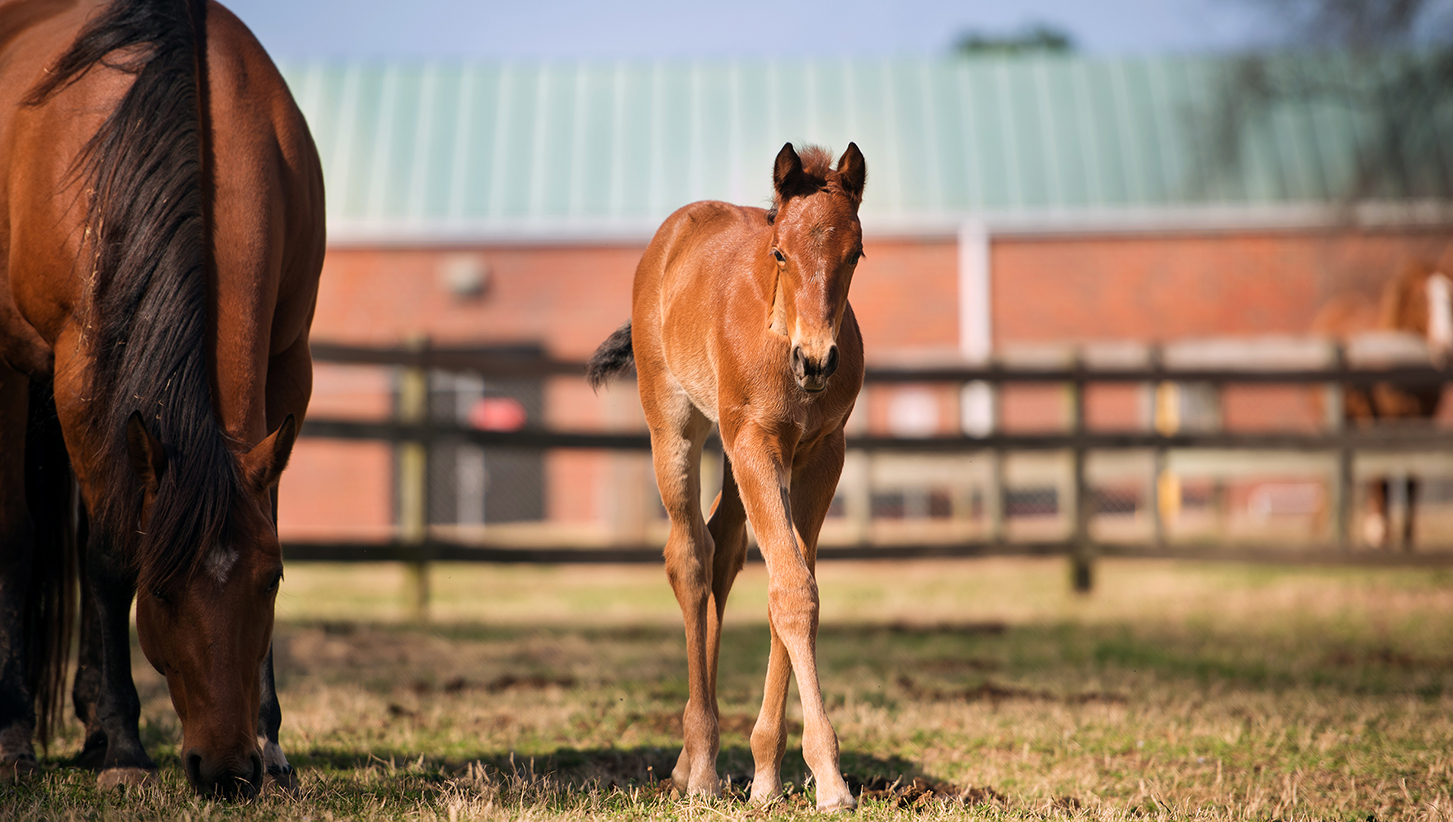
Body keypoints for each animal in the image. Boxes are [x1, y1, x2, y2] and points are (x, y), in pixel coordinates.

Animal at [0, 0, 324, 798]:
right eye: (163, 589)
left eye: (271, 582)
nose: (229, 770)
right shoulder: (69, 371)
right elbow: (103, 557)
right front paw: (122, 748)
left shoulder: (287, 365)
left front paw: (273, 744)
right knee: (26, 535)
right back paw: (24, 733)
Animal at [589, 143, 866, 811]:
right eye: (780, 252)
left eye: (856, 254)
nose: (816, 361)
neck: (779, 328)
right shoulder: (757, 445)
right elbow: (793, 590)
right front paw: (830, 778)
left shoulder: (821, 452)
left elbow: (794, 584)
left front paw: (769, 773)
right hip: (678, 426)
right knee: (690, 557)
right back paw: (703, 767)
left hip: (739, 453)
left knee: (723, 551)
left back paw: (695, 763)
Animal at [1312, 257, 1451, 549]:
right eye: (1420, 299)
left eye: (1451, 293)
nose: (1445, 347)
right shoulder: (1379, 416)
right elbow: (1380, 471)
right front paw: (1380, 533)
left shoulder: (1423, 418)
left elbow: (1412, 473)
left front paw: (1407, 538)